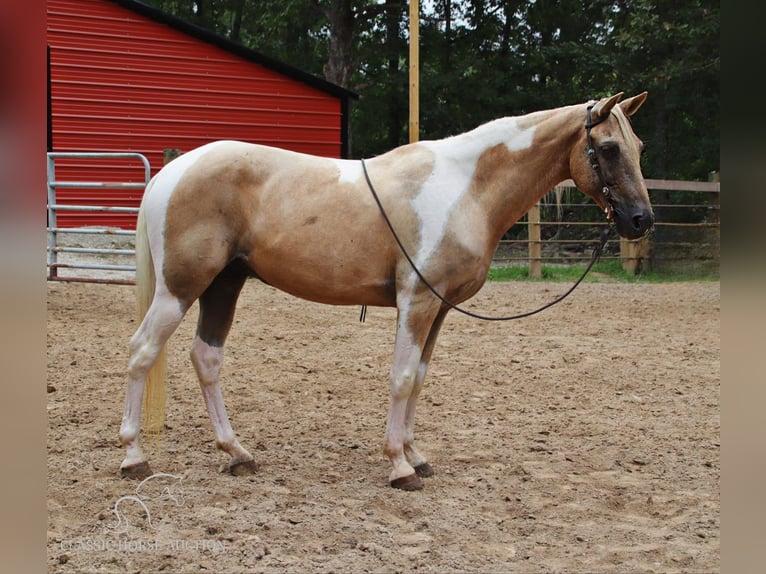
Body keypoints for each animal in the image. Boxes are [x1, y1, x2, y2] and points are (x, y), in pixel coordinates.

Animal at [120, 92, 656, 492]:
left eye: (640, 146)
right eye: (609, 148)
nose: (640, 220)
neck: (464, 188)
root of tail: (172, 173)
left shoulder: (438, 308)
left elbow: (418, 377)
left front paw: (417, 457)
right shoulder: (416, 301)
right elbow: (400, 377)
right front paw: (399, 466)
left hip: (223, 285)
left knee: (206, 358)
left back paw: (237, 453)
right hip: (180, 289)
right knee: (142, 352)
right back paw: (133, 457)